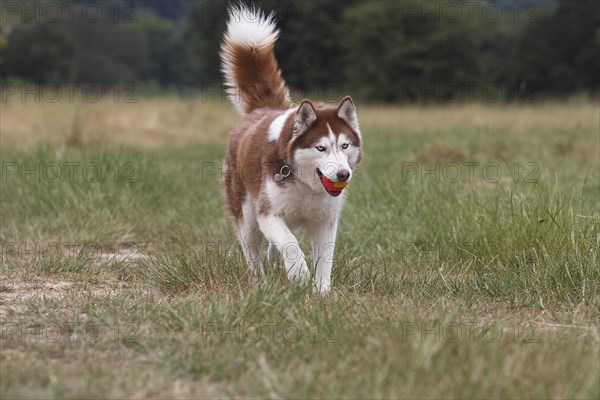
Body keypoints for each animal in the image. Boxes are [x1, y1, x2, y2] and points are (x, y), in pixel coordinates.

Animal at [219, 3, 360, 294]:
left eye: (344, 145)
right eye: (320, 148)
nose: (343, 174)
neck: (306, 185)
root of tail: (263, 109)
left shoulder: (326, 222)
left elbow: (324, 259)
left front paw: (322, 292)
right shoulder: (268, 213)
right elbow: (290, 244)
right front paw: (299, 274)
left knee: (272, 249)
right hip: (246, 214)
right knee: (253, 251)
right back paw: (260, 282)